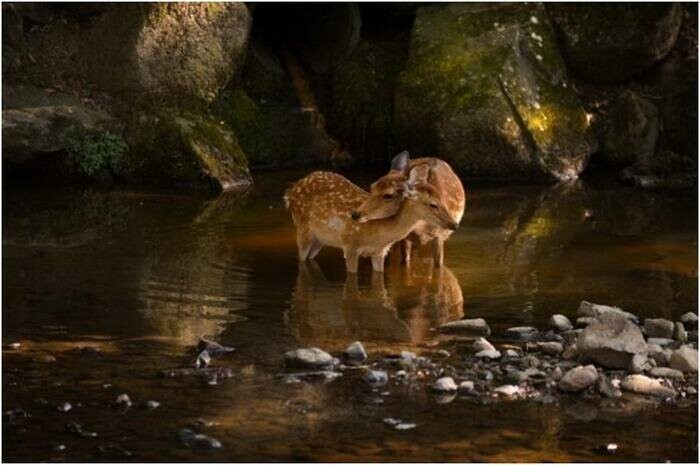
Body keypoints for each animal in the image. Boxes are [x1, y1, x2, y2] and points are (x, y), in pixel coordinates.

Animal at [282, 158, 456, 272]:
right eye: (432, 204)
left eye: (442, 198)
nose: (454, 224)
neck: (378, 233)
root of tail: (290, 191)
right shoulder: (350, 245)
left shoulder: (379, 252)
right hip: (302, 229)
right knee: (301, 258)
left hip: (320, 239)